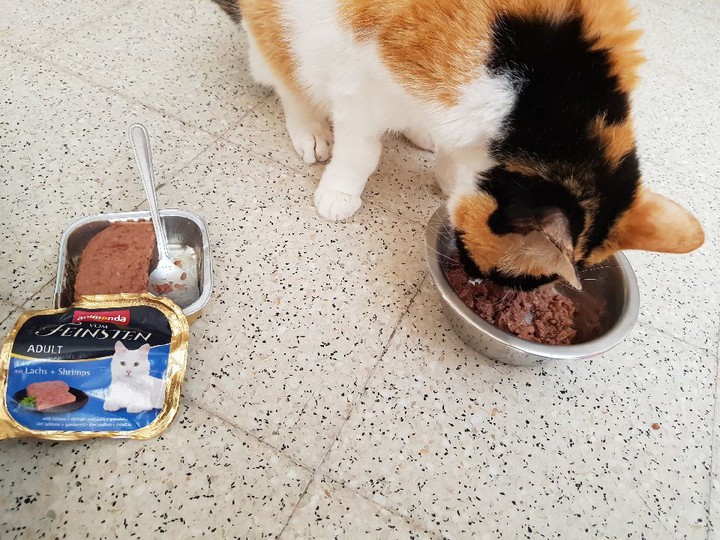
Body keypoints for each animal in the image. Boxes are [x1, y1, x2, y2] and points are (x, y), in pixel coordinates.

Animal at [215, 0, 704, 289]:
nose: (476, 282)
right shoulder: (365, 82)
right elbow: (361, 151)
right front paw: (340, 192)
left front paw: (448, 175)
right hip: (287, 33)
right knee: (285, 76)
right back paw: (311, 128)